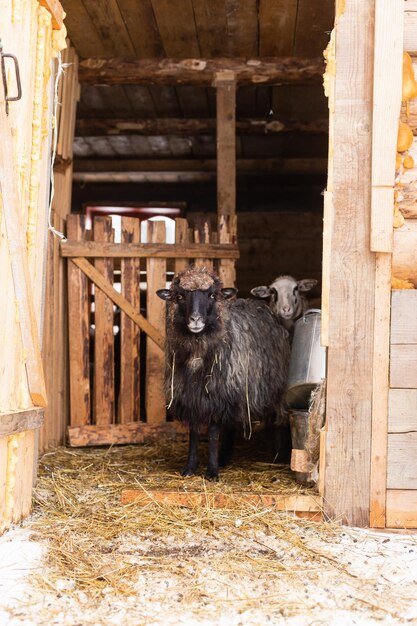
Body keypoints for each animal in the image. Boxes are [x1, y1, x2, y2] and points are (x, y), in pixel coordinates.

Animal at [156, 264, 290, 478]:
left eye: (212, 295)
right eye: (180, 296)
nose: (195, 320)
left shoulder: (217, 395)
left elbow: (212, 433)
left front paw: (212, 471)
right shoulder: (193, 397)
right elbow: (194, 432)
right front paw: (190, 468)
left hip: (276, 387)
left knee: (280, 418)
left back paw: (279, 455)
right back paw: (225, 456)